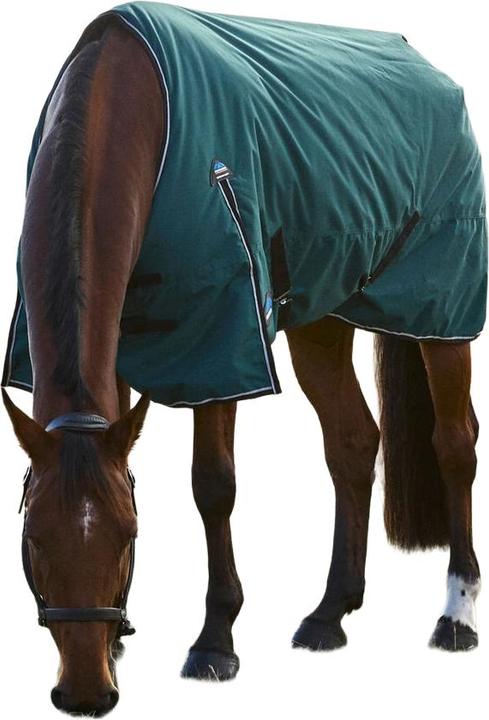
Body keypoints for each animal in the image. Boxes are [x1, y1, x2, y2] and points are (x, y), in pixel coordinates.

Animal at [2, 3, 486, 715]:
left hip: (442, 307)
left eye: (129, 536)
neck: (131, 105)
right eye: (32, 538)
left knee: (455, 442)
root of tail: (431, 71)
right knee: (352, 442)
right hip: (319, 315)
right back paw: (329, 614)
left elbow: (213, 485)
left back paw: (456, 614)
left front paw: (214, 642)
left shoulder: (221, 338)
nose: (87, 692)